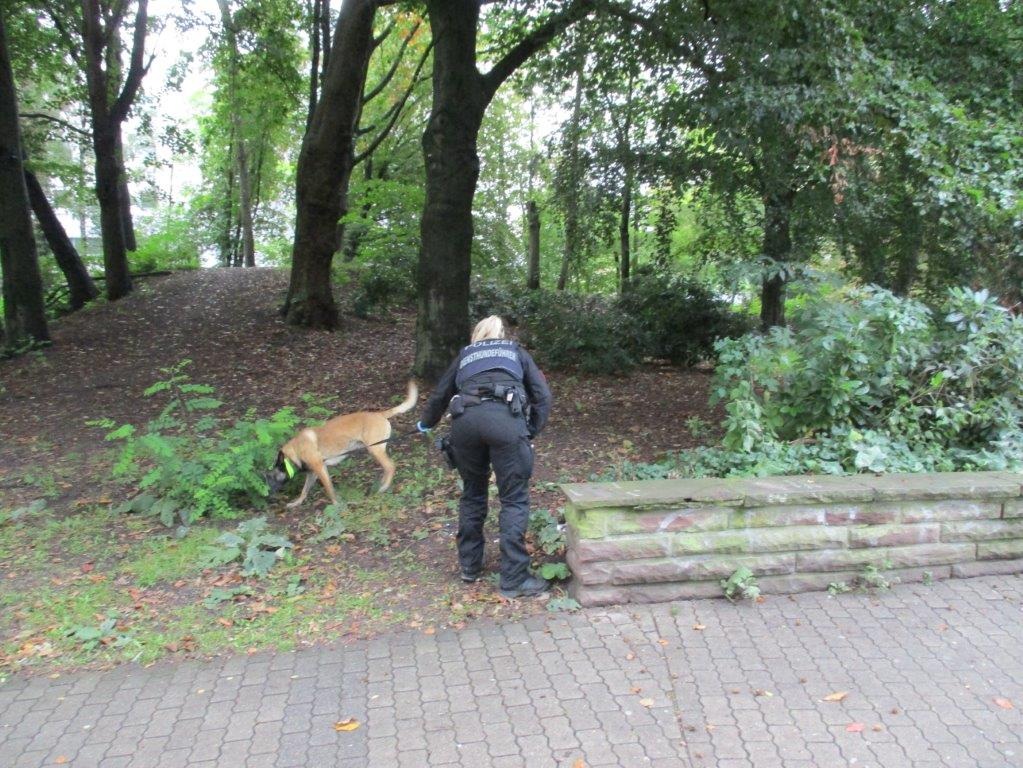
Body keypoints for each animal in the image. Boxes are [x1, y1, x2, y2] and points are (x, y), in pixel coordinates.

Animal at [270, 382, 421, 507]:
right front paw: (296, 503)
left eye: (272, 476)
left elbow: (330, 490)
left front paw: (337, 504)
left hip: (374, 450)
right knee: (387, 468)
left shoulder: (321, 469)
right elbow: (304, 491)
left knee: (391, 466)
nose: (269, 494)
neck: (295, 449)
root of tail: (379, 414)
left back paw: (384, 487)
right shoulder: (313, 473)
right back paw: (382, 483)